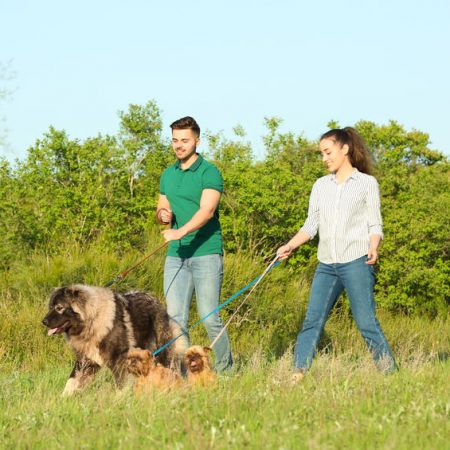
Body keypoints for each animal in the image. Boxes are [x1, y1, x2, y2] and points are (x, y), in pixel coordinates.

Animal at [43, 284, 187, 396]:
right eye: (50, 307)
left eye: (59, 308)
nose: (43, 322)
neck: (93, 320)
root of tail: (157, 302)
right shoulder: (86, 361)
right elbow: (71, 382)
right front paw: (63, 400)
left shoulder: (119, 360)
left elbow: (121, 384)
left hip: (163, 351)